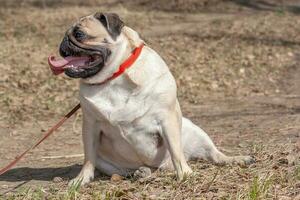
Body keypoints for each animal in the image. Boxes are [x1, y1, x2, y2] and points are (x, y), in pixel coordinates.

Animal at [48, 11, 253, 185]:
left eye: (79, 34)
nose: (63, 41)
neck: (115, 76)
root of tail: (162, 166)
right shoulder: (91, 124)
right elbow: (88, 157)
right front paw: (82, 179)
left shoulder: (167, 118)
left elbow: (175, 150)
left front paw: (185, 174)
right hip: (110, 162)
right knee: (132, 169)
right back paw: (141, 172)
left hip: (194, 131)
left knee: (212, 154)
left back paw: (237, 159)